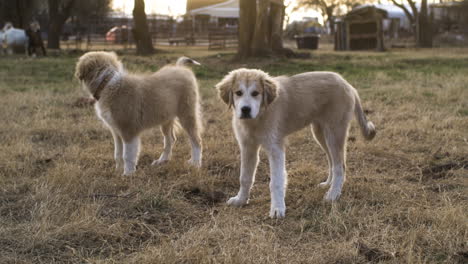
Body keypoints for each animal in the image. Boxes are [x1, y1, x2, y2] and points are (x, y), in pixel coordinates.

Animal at [75, 51, 203, 175]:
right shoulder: (116, 131)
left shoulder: (128, 131)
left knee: (196, 140)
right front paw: (117, 171)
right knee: (170, 139)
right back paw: (162, 160)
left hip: (187, 114)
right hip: (166, 118)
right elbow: (117, 153)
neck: (107, 83)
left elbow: (127, 155)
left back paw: (195, 163)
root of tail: (181, 68)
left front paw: (128, 174)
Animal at [217, 68, 376, 219]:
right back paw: (328, 184)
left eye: (255, 93)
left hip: (334, 132)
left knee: (340, 166)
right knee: (332, 161)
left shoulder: (275, 148)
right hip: (320, 133)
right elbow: (245, 177)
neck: (257, 118)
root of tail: (347, 85)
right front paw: (241, 200)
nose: (245, 110)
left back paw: (333, 194)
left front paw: (277, 209)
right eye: (238, 93)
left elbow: (276, 181)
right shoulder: (247, 147)